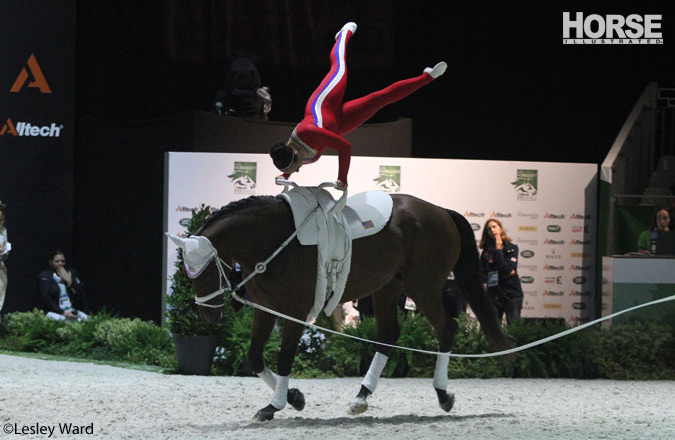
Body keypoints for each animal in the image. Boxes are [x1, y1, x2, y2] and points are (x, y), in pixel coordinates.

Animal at [174, 192, 512, 420]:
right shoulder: (265, 309)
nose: (208, 313)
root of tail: (441, 211)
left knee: (447, 328)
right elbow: (255, 357)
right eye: (188, 273)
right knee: (388, 336)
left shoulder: (294, 312)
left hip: (424, 286)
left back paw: (442, 394)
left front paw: (275, 405)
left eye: (203, 270)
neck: (274, 239)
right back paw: (361, 398)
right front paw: (294, 397)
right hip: (388, 287)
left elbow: (284, 358)